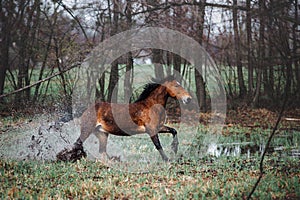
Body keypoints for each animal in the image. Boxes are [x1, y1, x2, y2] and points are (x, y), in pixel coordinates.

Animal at [58, 76, 191, 162]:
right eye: (176, 85)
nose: (188, 99)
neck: (150, 106)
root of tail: (85, 110)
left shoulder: (159, 127)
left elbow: (174, 131)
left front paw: (174, 149)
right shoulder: (151, 130)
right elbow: (158, 145)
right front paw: (167, 160)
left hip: (102, 134)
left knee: (102, 151)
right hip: (87, 130)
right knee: (78, 144)